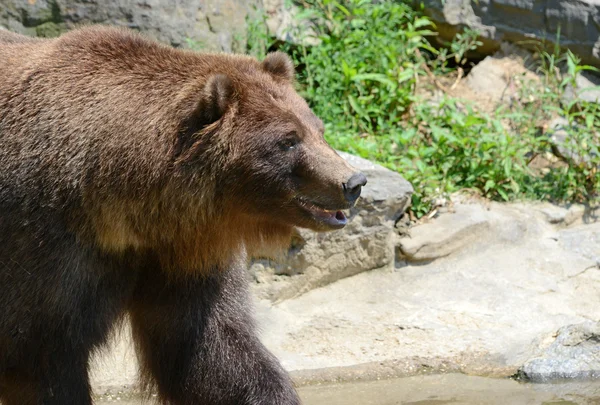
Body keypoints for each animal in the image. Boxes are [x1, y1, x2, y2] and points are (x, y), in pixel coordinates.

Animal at [0, 26, 366, 404]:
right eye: (288, 141)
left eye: (317, 129)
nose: (353, 182)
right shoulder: (47, 241)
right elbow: (42, 353)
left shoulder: (183, 252)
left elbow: (209, 348)